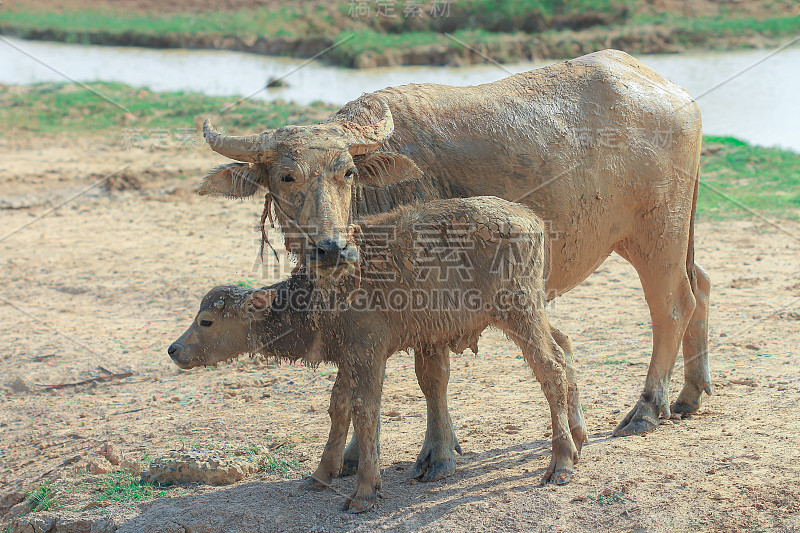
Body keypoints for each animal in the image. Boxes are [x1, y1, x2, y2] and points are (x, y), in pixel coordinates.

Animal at [200, 48, 712, 474]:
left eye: (346, 172)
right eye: (286, 177)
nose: (331, 248)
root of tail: (676, 94)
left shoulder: (426, 301)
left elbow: (430, 377)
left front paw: (438, 453)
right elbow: (359, 381)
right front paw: (352, 456)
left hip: (657, 233)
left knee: (672, 306)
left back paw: (647, 408)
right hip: (658, 236)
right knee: (701, 286)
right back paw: (689, 395)